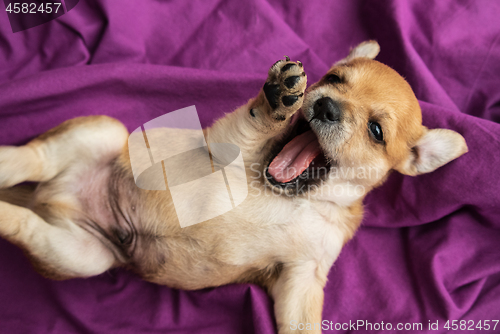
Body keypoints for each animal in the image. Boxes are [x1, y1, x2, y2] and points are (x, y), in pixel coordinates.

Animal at [0, 42, 464, 334]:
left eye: (376, 131)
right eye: (334, 78)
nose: (326, 105)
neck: (295, 198)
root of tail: (54, 197)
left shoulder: (302, 278)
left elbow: (301, 322)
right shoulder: (231, 141)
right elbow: (259, 119)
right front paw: (279, 96)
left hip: (81, 254)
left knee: (22, 223)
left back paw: (7, 209)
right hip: (103, 133)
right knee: (35, 157)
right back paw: (7, 163)